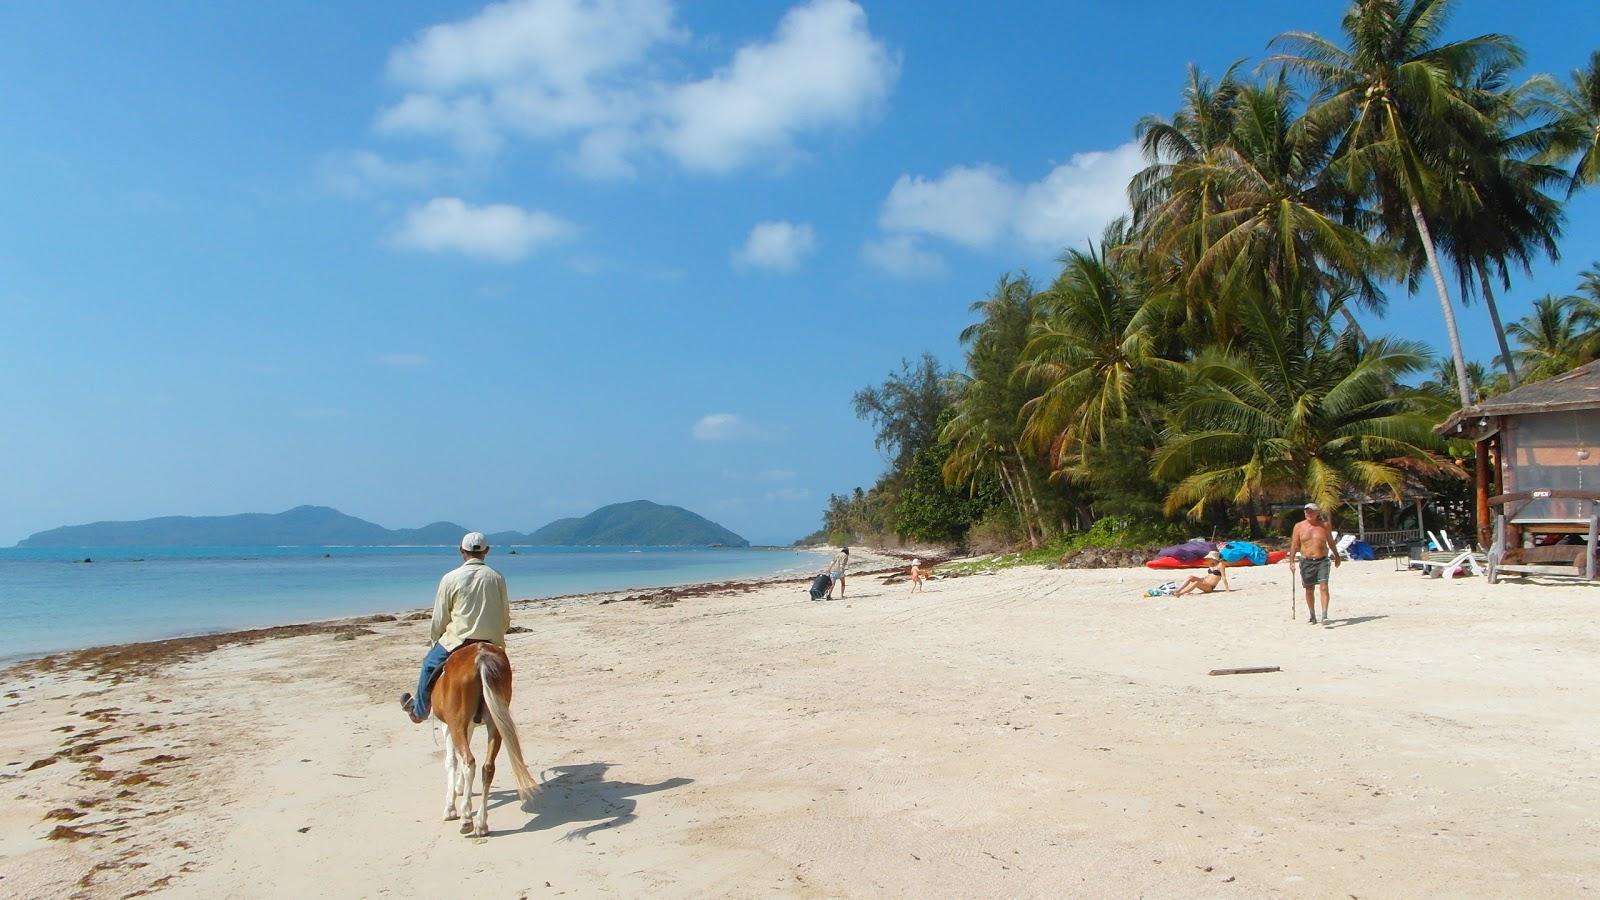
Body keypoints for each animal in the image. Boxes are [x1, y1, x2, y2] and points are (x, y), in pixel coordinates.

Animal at [428, 637, 540, 832]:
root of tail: (480, 656)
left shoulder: (448, 727)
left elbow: (451, 761)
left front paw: (450, 808)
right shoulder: (469, 726)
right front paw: (460, 788)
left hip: (457, 725)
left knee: (469, 762)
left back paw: (466, 818)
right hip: (495, 724)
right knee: (487, 767)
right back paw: (481, 822)